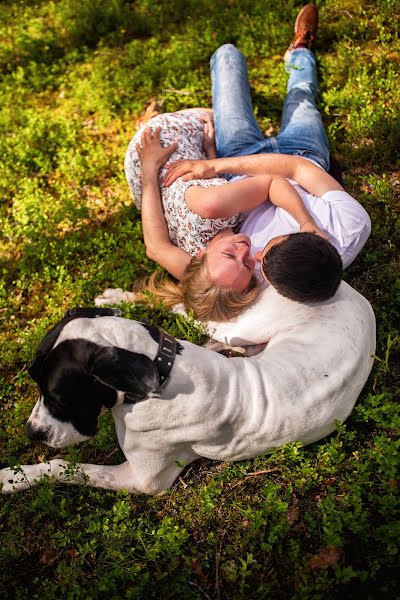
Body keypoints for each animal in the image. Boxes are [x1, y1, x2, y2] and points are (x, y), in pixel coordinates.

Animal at [0, 284, 376, 494]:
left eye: (59, 397)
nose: (32, 432)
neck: (160, 369)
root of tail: (349, 291)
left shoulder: (142, 481)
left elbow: (63, 467)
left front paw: (12, 479)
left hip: (243, 324)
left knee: (191, 306)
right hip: (239, 330)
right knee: (181, 305)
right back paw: (119, 298)